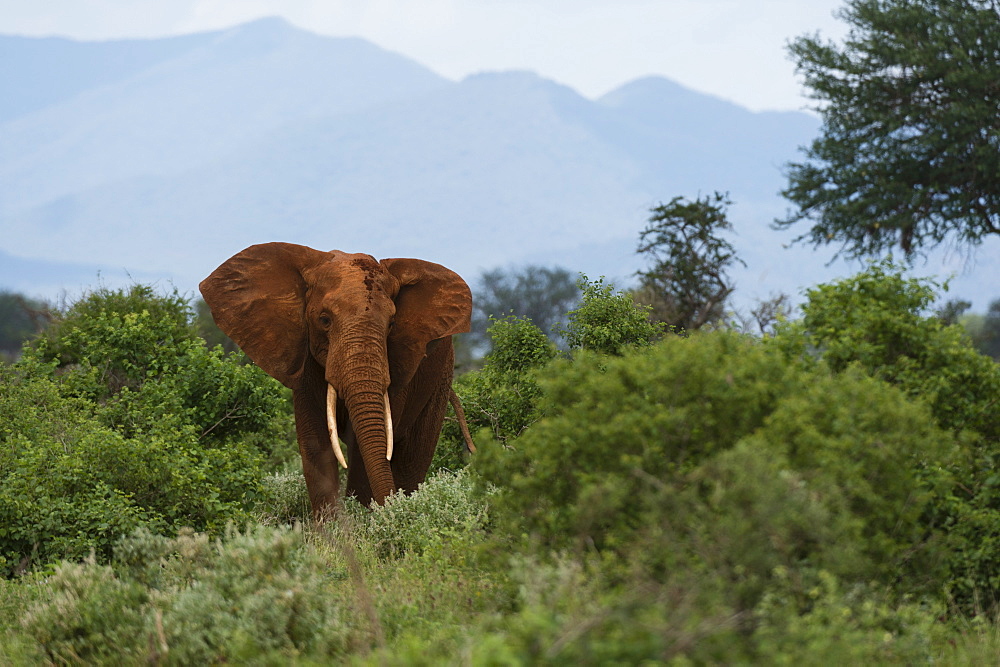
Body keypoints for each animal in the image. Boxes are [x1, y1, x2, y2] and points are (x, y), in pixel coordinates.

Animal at [201, 243, 474, 516]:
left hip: (441, 375)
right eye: (324, 320)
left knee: (413, 458)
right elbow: (315, 443)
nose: (390, 508)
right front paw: (333, 526)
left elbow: (368, 448)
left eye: (392, 324)